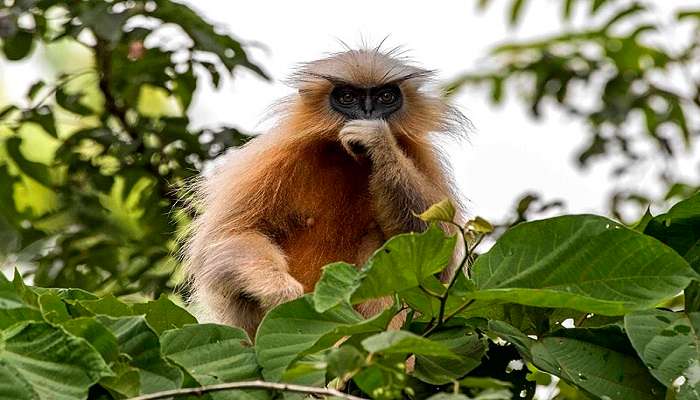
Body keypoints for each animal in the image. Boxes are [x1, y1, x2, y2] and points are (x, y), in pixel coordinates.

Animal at [185, 47, 470, 338]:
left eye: (386, 97)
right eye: (347, 97)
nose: (368, 113)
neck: (347, 159)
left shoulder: (419, 154)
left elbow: (438, 262)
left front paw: (378, 142)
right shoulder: (277, 155)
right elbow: (230, 235)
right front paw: (278, 289)